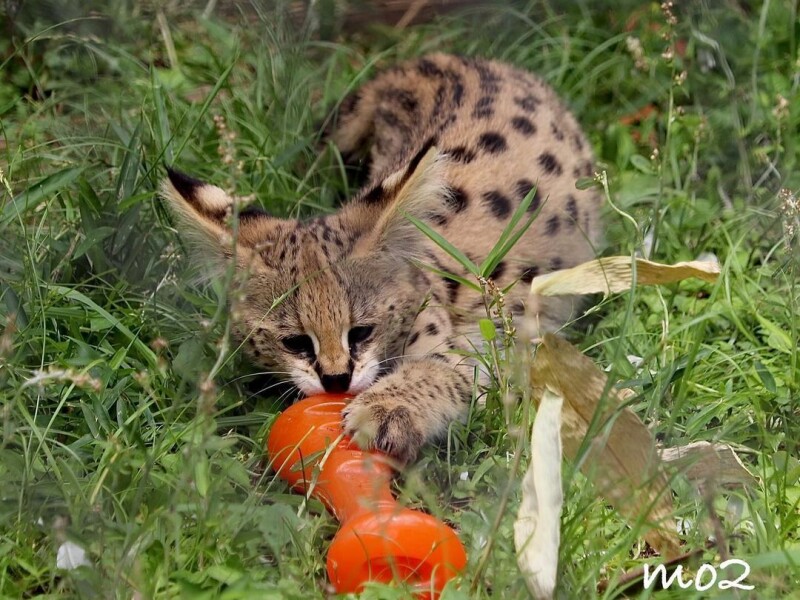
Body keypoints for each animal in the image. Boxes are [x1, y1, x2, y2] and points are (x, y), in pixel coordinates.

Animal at [162, 52, 600, 464]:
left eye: (362, 332)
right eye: (295, 342)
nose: (336, 381)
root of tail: (439, 60)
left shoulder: (471, 352)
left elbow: (438, 372)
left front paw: (385, 408)